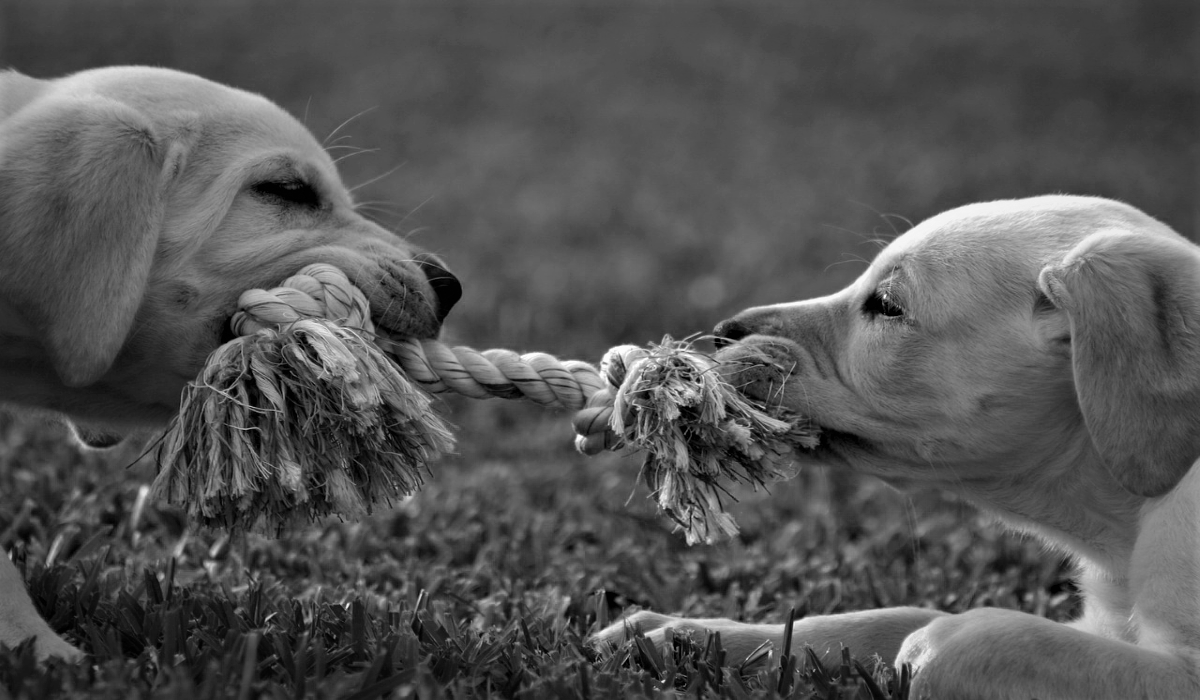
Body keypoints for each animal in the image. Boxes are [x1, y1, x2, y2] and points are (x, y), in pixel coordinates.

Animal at [595, 195, 1200, 700]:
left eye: (887, 305)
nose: (725, 329)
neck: (1120, 527)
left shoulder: (1176, 671)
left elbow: (978, 640)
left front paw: (928, 649)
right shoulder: (1100, 625)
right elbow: (873, 620)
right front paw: (678, 636)